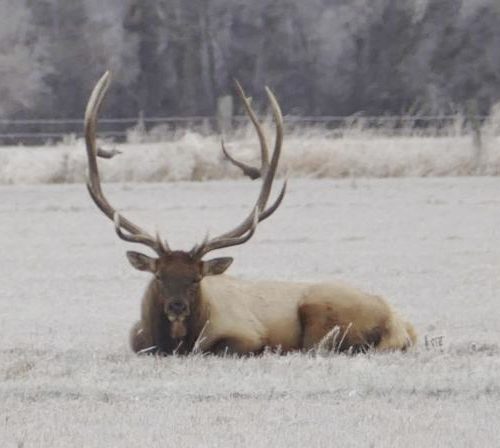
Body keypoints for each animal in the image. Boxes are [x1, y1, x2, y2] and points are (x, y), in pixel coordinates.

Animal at [84, 72, 416, 356]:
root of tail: (399, 323)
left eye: (196, 279)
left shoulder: (245, 335)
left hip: (321, 311)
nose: (177, 307)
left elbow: (223, 347)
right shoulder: (137, 340)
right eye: (159, 276)